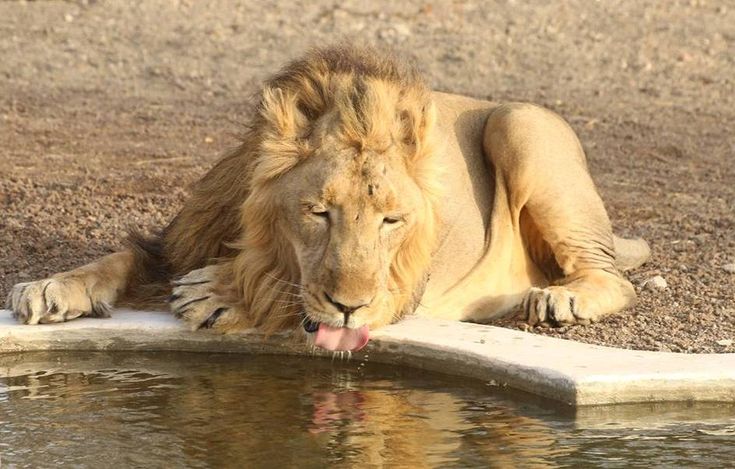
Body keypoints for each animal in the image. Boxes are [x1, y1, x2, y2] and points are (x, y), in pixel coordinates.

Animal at [6, 45, 650, 352]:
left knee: (616, 279)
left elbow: (286, 293)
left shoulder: (400, 287)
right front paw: (50, 287)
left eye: (391, 220)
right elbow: (116, 258)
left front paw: (220, 293)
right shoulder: (178, 241)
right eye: (318, 212)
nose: (348, 306)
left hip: (521, 125)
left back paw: (561, 299)